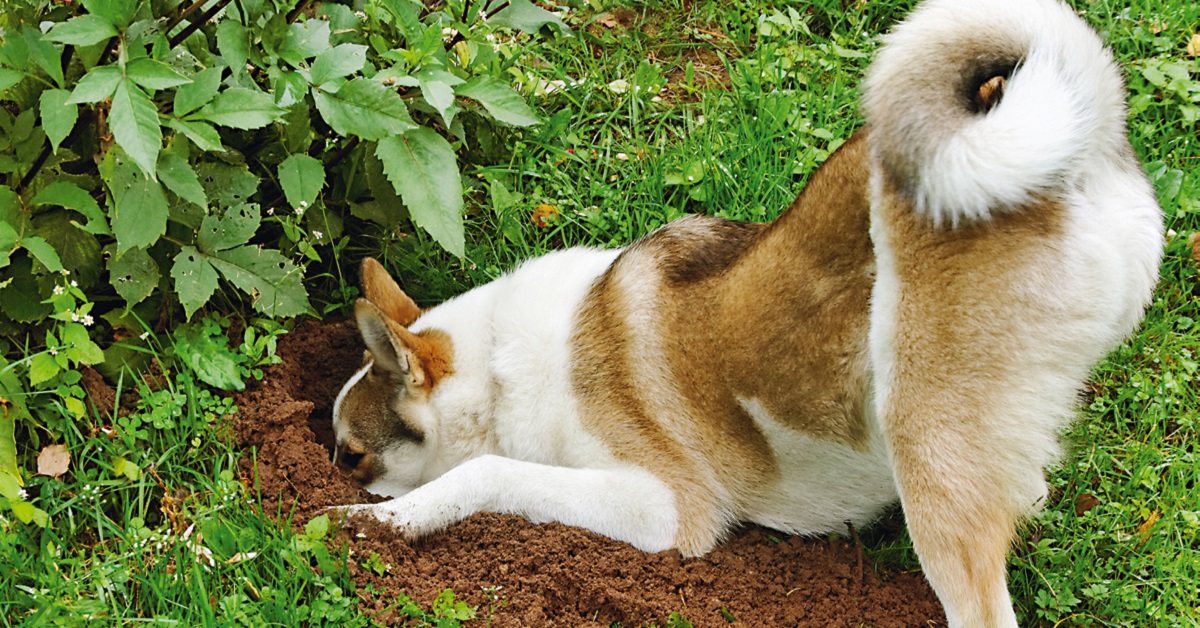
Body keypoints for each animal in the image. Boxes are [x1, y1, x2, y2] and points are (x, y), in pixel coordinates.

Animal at [328, 2, 1161, 624]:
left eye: (351, 456)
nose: (338, 482)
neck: (498, 371)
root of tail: (1075, 149)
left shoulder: (666, 507)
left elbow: (489, 473)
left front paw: (382, 523)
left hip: (928, 443)